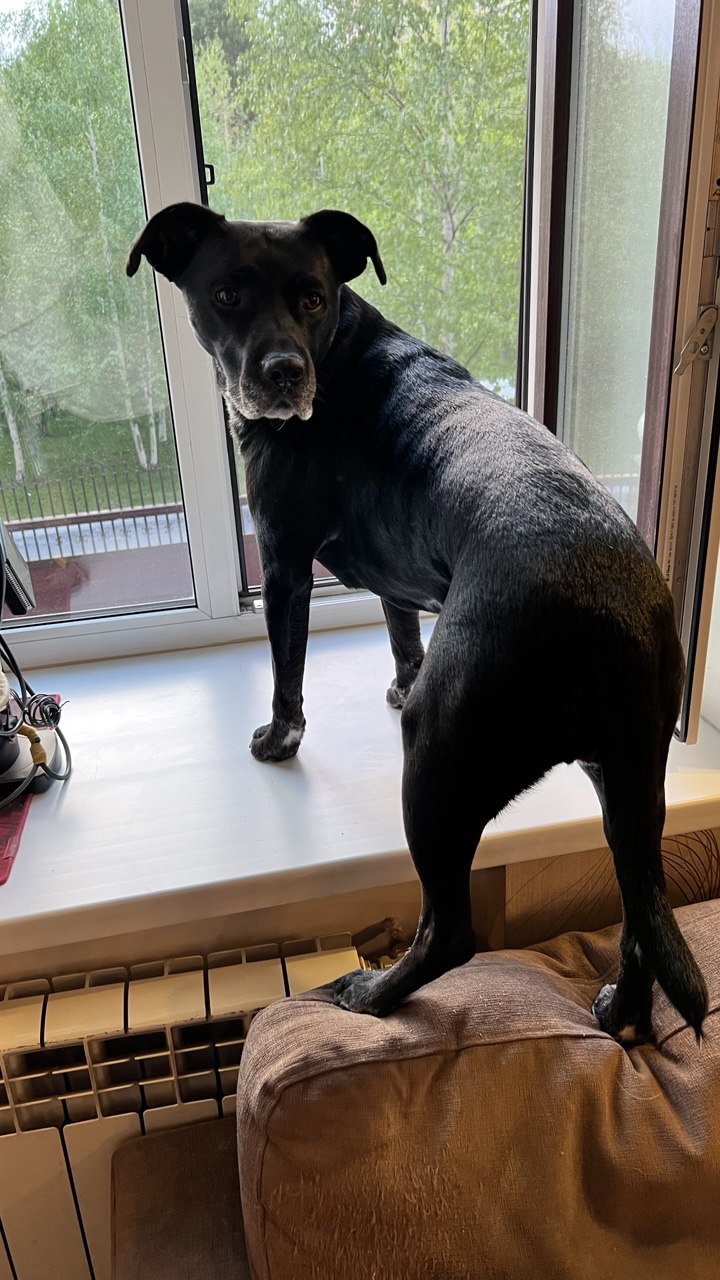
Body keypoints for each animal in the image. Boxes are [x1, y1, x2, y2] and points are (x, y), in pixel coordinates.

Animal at [128, 202, 708, 1043]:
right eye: (228, 294)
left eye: (312, 298)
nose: (283, 373)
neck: (335, 349)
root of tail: (613, 611)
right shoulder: (395, 575)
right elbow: (402, 631)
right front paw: (400, 676)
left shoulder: (282, 561)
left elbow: (286, 666)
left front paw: (280, 738)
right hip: (629, 778)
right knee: (640, 902)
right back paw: (623, 1007)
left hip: (439, 760)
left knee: (451, 930)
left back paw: (374, 995)